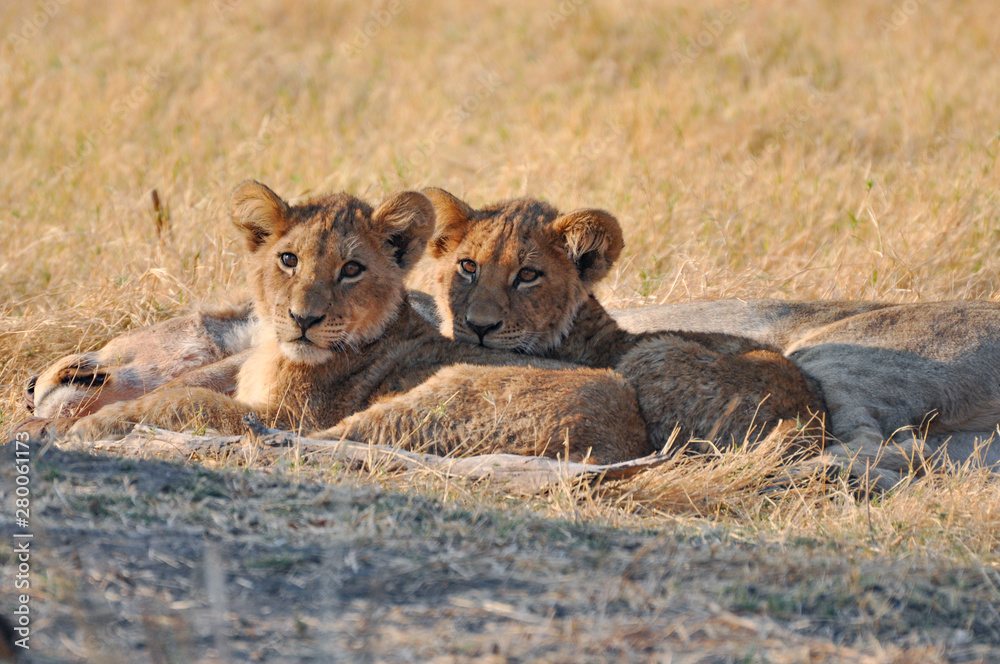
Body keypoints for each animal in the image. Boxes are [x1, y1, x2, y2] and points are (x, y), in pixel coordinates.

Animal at [57, 181, 650, 464]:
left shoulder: (295, 415)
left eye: (351, 269)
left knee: (302, 442)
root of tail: (629, 432)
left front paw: (95, 425)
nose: (303, 318)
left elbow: (193, 400)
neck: (276, 351)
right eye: (288, 260)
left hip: (442, 396)